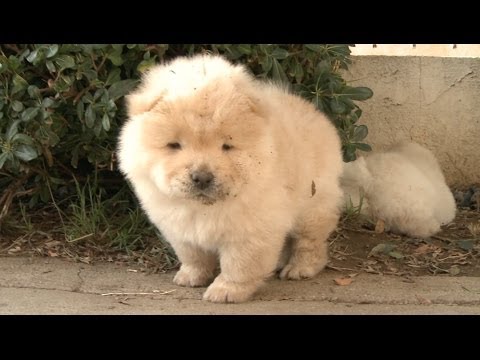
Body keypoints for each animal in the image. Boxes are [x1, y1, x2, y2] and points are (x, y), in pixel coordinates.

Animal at [116, 53, 344, 302]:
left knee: (309, 242)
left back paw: (299, 268)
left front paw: (225, 291)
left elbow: (239, 265)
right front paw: (191, 277)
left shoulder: (250, 230)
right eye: (174, 145)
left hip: (313, 207)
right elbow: (193, 256)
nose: (202, 177)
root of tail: (314, 111)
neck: (202, 208)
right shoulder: (180, 228)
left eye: (227, 146)